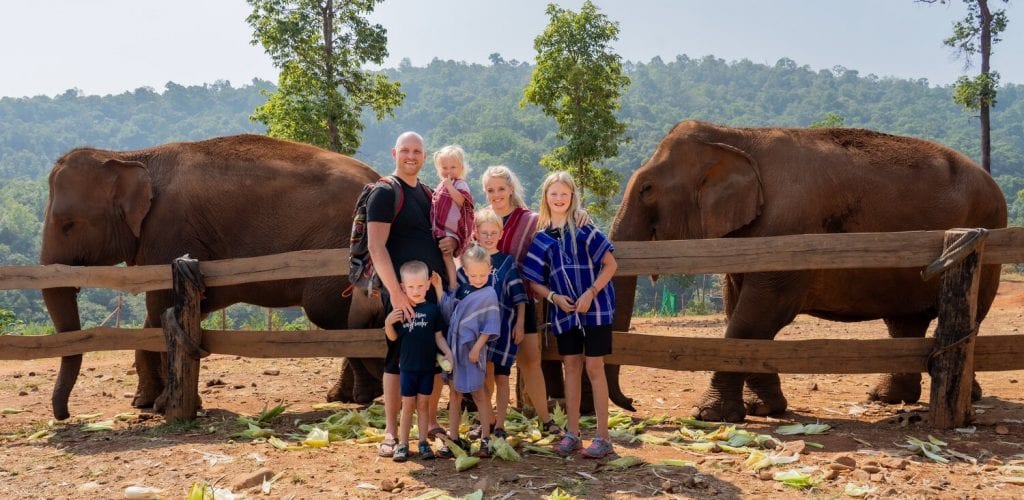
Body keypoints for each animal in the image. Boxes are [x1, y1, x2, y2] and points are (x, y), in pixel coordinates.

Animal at [38, 135, 385, 420]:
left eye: (67, 224)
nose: (63, 415)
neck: (129, 156)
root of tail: (378, 177)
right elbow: (156, 318)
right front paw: (145, 403)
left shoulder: (170, 232)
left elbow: (160, 308)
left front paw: (164, 405)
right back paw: (346, 395)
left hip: (343, 244)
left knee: (330, 312)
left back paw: (366, 393)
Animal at [606, 119, 1007, 422]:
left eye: (646, 189)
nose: (631, 404)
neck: (738, 136)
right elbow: (740, 311)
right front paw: (763, 409)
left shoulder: (788, 233)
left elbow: (758, 315)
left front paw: (710, 415)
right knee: (904, 321)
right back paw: (886, 398)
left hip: (989, 238)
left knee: (968, 315)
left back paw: (965, 396)